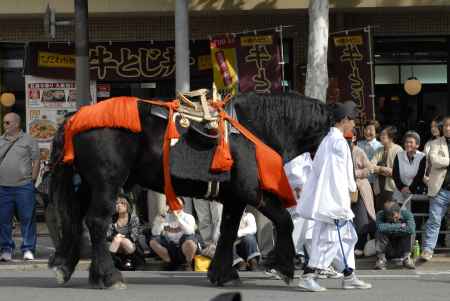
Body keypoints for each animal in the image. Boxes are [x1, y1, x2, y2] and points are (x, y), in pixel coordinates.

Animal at [47, 92, 332, 288]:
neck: (255, 129)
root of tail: (76, 116)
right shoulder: (252, 192)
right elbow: (284, 220)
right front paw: (284, 268)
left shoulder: (234, 198)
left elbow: (228, 231)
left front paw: (223, 274)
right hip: (107, 181)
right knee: (96, 221)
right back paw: (109, 276)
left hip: (89, 183)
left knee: (75, 217)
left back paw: (66, 266)